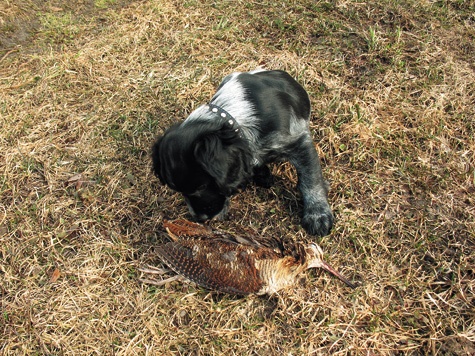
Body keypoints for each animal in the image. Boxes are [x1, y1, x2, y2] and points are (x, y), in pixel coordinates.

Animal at [152, 69, 334, 236]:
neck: (233, 115)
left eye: (201, 186)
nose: (199, 219)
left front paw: (318, 214)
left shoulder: (299, 141)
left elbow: (310, 180)